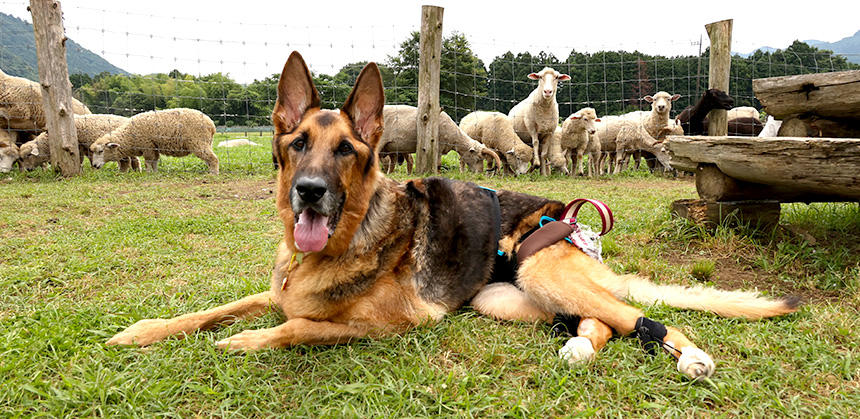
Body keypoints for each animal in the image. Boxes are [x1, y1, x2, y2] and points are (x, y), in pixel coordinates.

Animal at [88, 108, 218, 176]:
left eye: (101, 151)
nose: (94, 165)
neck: (129, 136)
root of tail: (211, 124)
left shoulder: (147, 146)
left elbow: (148, 162)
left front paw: (148, 173)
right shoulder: (154, 147)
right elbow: (155, 161)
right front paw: (155, 173)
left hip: (198, 141)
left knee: (213, 158)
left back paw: (214, 173)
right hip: (207, 142)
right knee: (209, 159)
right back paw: (210, 171)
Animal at [107, 51, 800, 380]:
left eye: (347, 151)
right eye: (298, 143)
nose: (309, 192)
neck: (341, 244)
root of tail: (568, 222)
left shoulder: (385, 322)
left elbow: (296, 328)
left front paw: (244, 342)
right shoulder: (275, 292)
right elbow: (214, 309)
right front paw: (143, 331)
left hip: (544, 275)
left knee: (642, 319)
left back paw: (690, 357)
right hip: (509, 299)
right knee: (604, 323)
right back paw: (578, 345)